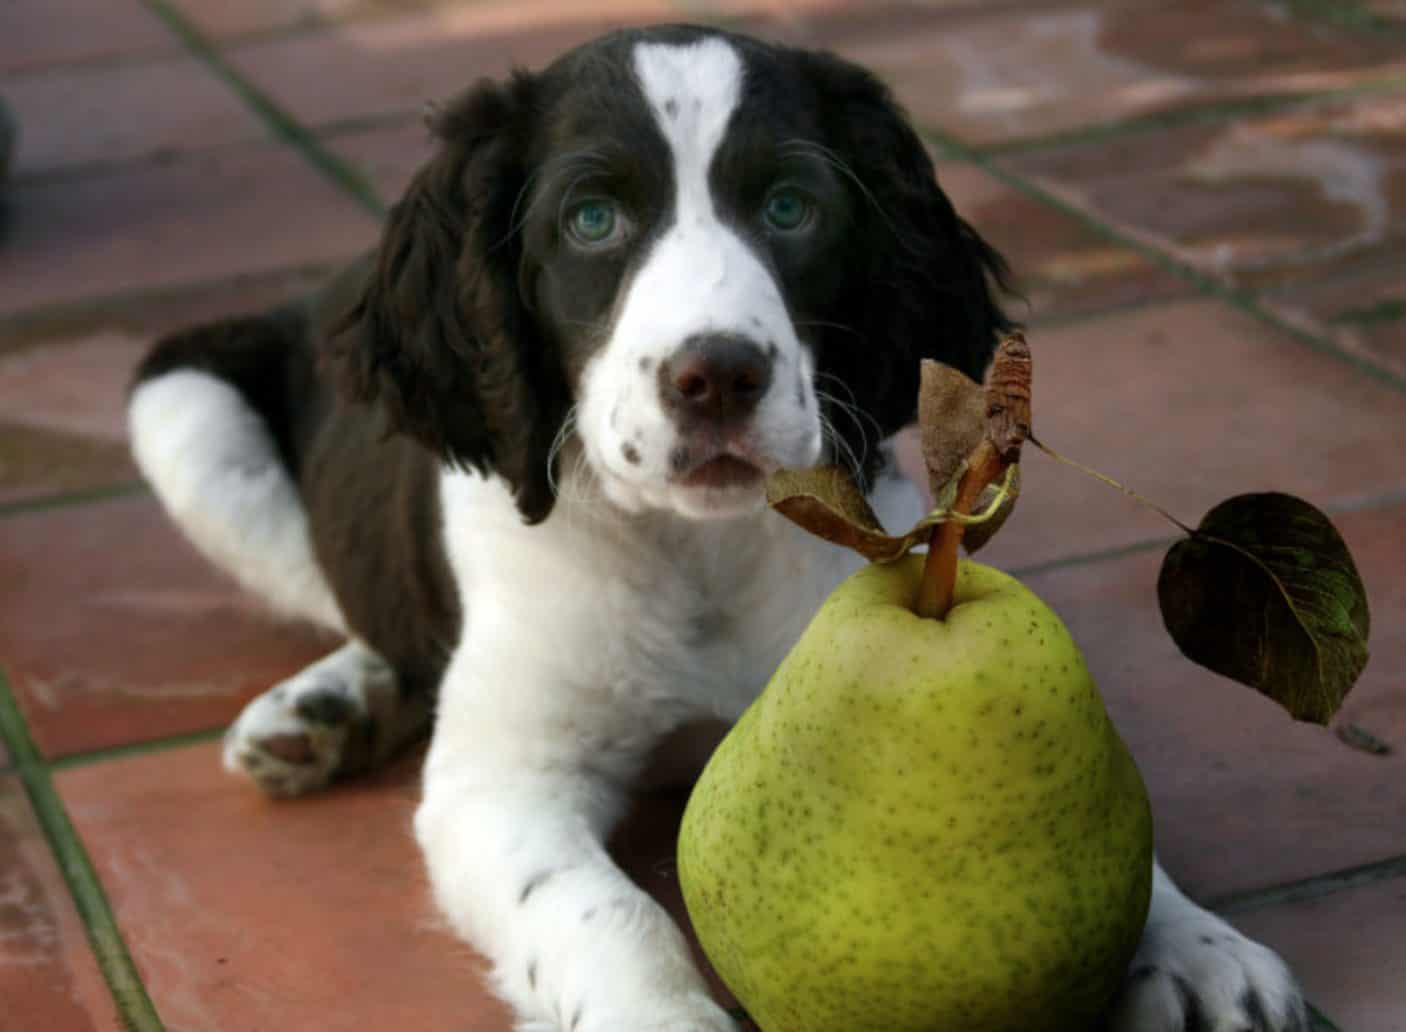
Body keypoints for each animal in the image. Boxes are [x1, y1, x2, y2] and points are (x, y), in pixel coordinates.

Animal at [129, 22, 1304, 1032]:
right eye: (589, 220)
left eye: (789, 207)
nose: (718, 377)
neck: (693, 548)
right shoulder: (502, 786)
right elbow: (606, 913)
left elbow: (1110, 817)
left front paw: (1197, 950)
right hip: (182, 410)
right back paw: (330, 700)